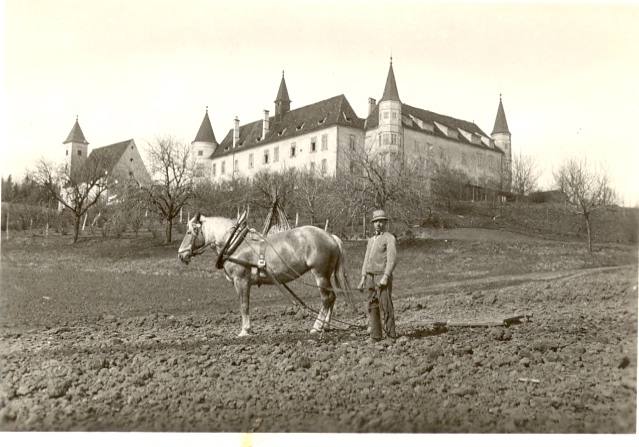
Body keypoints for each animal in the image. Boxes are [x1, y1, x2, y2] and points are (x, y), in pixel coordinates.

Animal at [178, 214, 356, 336]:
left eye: (189, 231)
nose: (181, 254)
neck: (235, 244)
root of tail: (331, 236)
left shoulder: (241, 280)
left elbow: (244, 305)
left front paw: (245, 330)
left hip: (320, 274)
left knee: (326, 299)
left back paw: (316, 327)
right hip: (325, 276)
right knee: (332, 297)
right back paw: (325, 326)